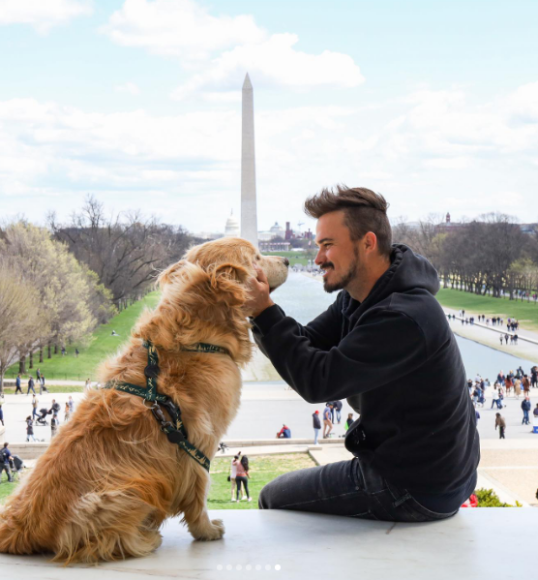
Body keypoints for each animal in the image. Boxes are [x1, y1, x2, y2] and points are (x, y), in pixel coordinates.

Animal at [0, 236, 286, 560]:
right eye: (257, 258)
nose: (288, 260)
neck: (196, 337)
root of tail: (18, 526)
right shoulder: (198, 444)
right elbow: (199, 492)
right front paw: (206, 530)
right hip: (120, 495)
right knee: (98, 542)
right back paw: (145, 539)